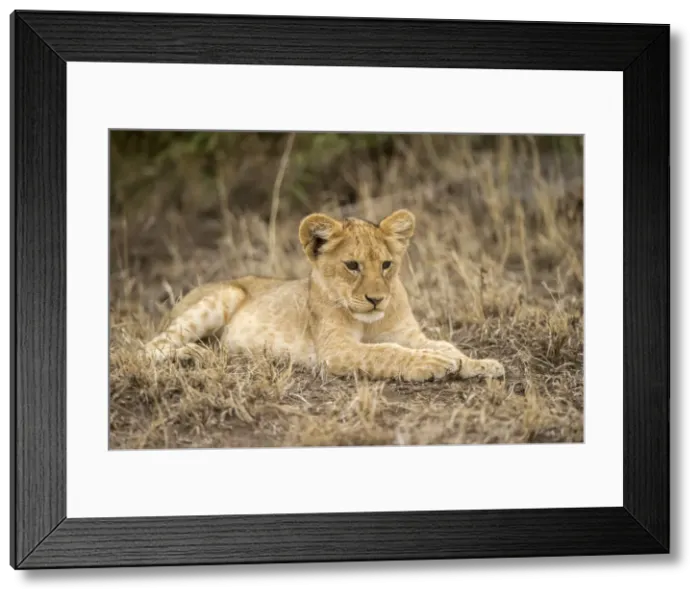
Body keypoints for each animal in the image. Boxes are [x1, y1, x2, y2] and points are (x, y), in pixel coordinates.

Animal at [143, 209, 505, 382]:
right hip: (224, 296)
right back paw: (193, 355)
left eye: (387, 264)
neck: (372, 321)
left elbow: (444, 345)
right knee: (148, 347)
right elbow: (386, 352)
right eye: (352, 265)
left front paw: (478, 364)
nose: (377, 299)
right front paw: (432, 364)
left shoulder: (409, 335)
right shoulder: (336, 349)